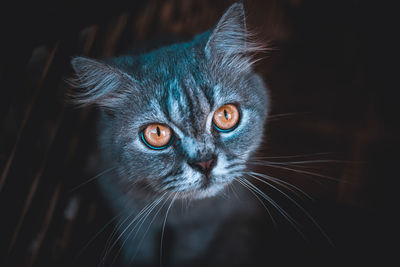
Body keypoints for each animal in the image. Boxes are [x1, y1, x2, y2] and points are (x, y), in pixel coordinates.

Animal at [69, 3, 272, 266]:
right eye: (157, 133)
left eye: (226, 115)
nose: (204, 163)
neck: (181, 211)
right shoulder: (129, 216)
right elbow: (139, 251)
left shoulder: (205, 224)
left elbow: (190, 252)